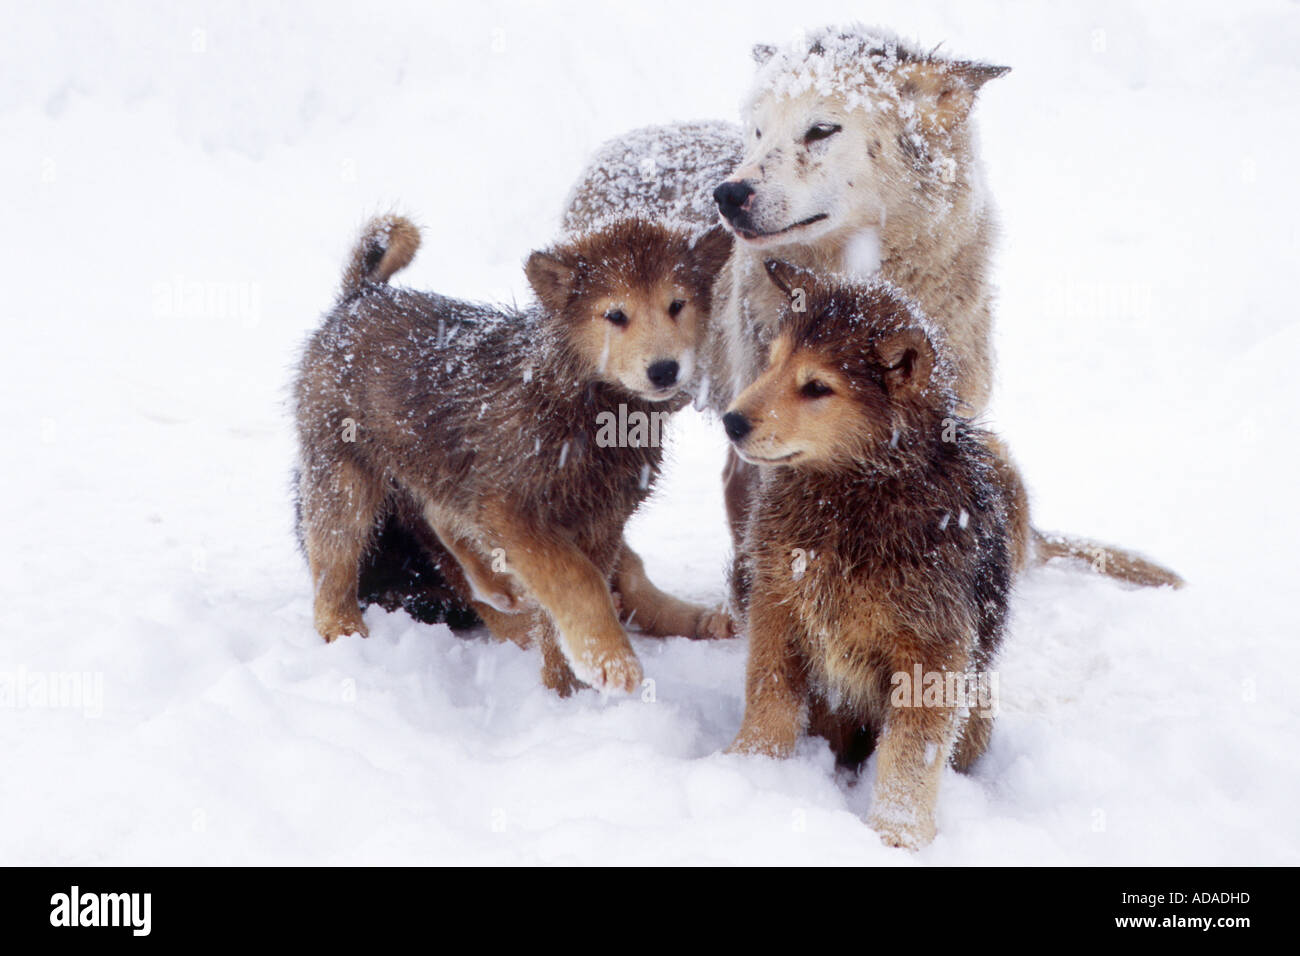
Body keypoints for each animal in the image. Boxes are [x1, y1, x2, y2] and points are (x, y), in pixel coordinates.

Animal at [297, 214, 738, 697]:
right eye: (615, 315)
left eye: (677, 305)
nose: (664, 370)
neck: (575, 401)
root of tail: (360, 295)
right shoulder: (513, 509)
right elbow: (579, 581)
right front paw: (609, 659)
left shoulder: (600, 521)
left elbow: (565, 601)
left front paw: (565, 688)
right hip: (343, 469)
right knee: (333, 554)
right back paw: (340, 626)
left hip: (441, 465)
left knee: (438, 514)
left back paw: (497, 588)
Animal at [722, 257, 1024, 848]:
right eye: (772, 363)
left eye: (817, 387)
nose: (732, 421)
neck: (853, 497)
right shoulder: (776, 603)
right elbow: (769, 694)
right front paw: (752, 768)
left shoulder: (933, 648)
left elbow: (911, 753)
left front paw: (897, 834)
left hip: (977, 707)